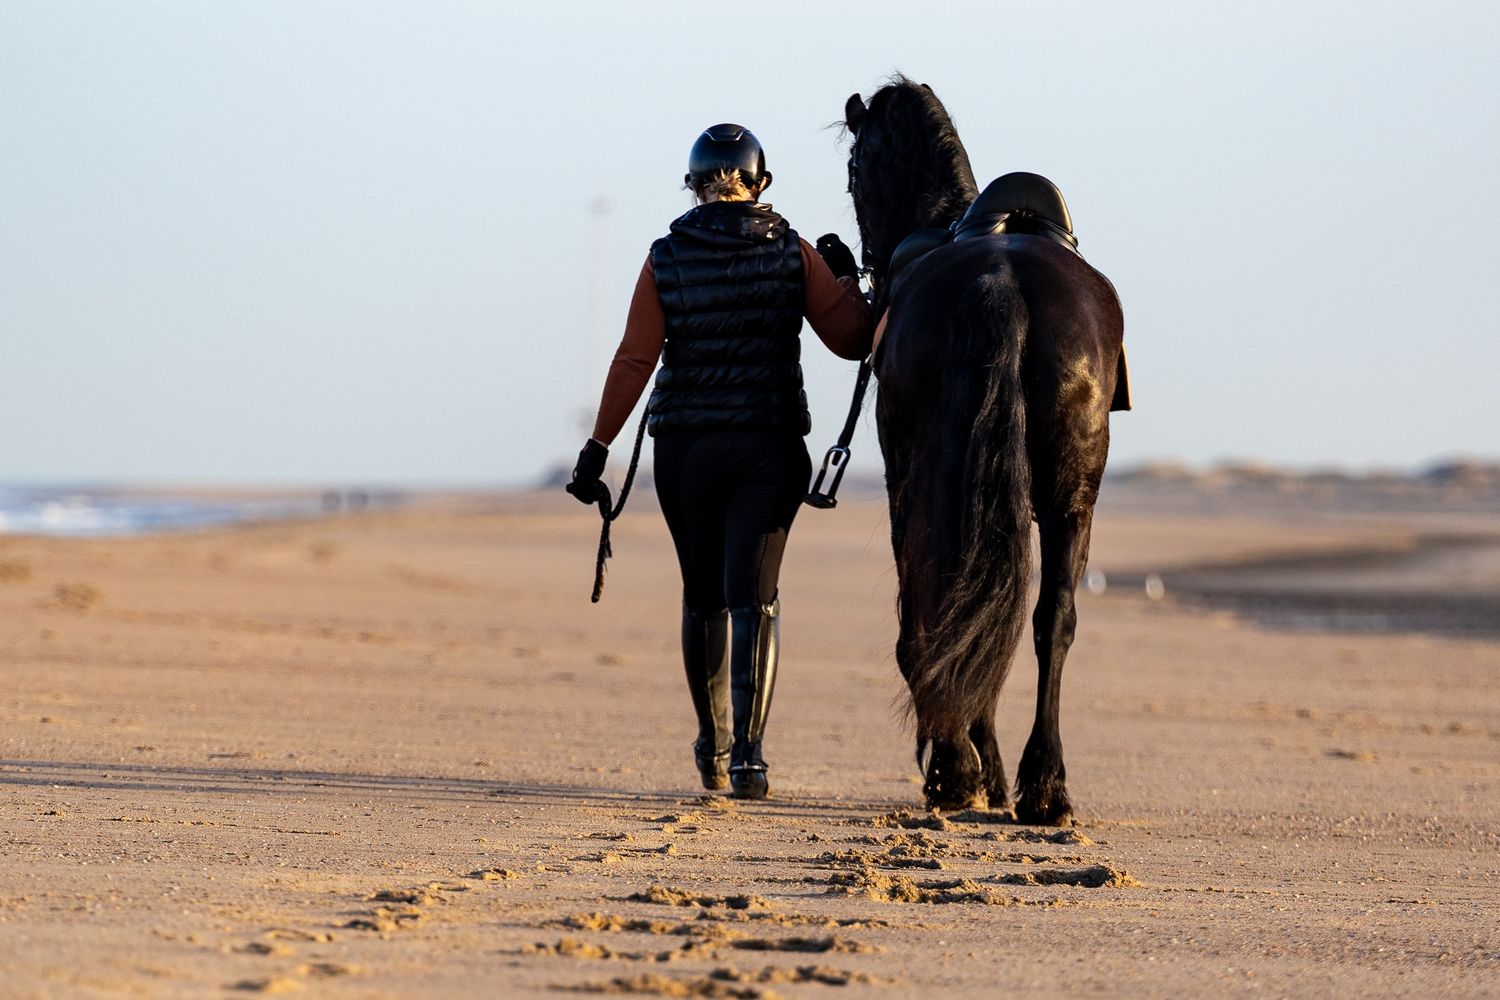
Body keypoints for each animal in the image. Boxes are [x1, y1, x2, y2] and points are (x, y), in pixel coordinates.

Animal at [843, 78, 1124, 825]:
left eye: (854, 169)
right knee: (1046, 616)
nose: (868, 270)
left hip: (927, 486)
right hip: (1069, 497)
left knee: (944, 602)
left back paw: (962, 771)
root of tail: (1001, 276)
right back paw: (1042, 785)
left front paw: (968, 768)